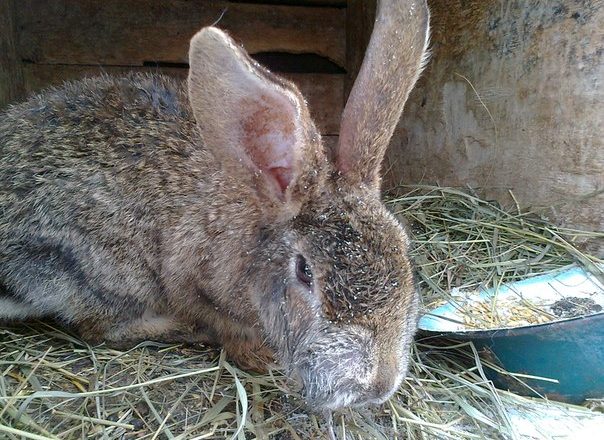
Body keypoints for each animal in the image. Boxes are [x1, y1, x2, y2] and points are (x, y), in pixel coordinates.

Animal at [2, 0, 432, 412]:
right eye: (305, 272)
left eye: (406, 254)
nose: (379, 385)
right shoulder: (190, 283)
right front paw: (258, 356)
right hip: (106, 268)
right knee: (99, 327)